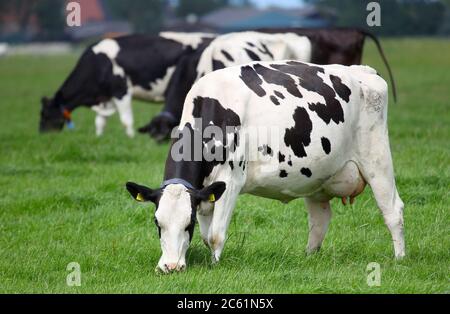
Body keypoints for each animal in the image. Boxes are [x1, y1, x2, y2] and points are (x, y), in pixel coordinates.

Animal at [38, 31, 214, 137]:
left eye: (45, 114)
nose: (42, 135)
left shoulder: (121, 91)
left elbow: (125, 120)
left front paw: (131, 138)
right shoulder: (105, 98)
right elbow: (100, 122)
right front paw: (99, 138)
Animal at [125, 60, 406, 274]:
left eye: (188, 223)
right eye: (157, 222)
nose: (171, 267)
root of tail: (364, 71)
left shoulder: (231, 181)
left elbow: (215, 234)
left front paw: (215, 267)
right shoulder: (205, 191)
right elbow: (206, 236)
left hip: (377, 157)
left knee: (393, 211)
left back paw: (399, 259)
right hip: (319, 175)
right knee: (320, 219)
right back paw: (309, 257)